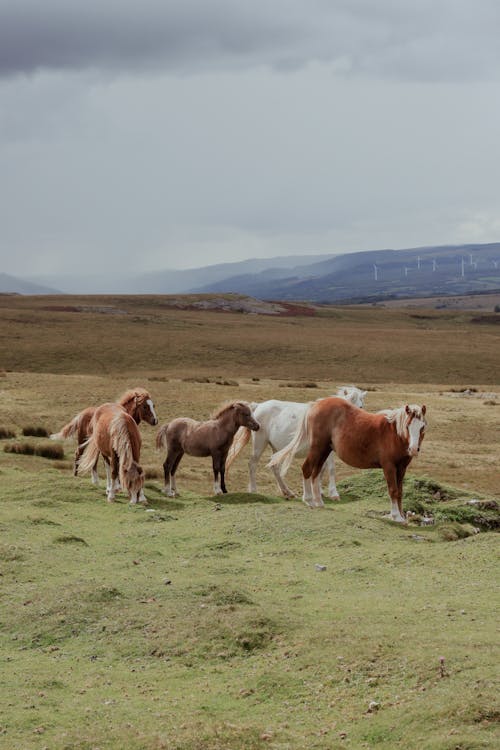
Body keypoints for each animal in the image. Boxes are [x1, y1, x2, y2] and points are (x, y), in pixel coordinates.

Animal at [227, 388, 368, 500]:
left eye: (361, 407)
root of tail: (259, 406)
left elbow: (321, 470)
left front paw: (320, 491)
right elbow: (331, 469)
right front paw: (333, 494)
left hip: (276, 448)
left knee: (275, 467)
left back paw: (287, 492)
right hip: (260, 444)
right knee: (252, 464)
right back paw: (254, 490)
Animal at [270, 400, 426, 524]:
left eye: (422, 427)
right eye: (407, 426)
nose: (413, 449)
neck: (394, 434)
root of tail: (317, 404)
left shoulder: (401, 468)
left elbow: (400, 492)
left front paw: (401, 516)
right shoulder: (389, 467)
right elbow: (393, 490)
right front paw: (396, 517)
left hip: (324, 450)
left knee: (315, 473)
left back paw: (319, 502)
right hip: (317, 448)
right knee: (307, 469)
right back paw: (309, 500)